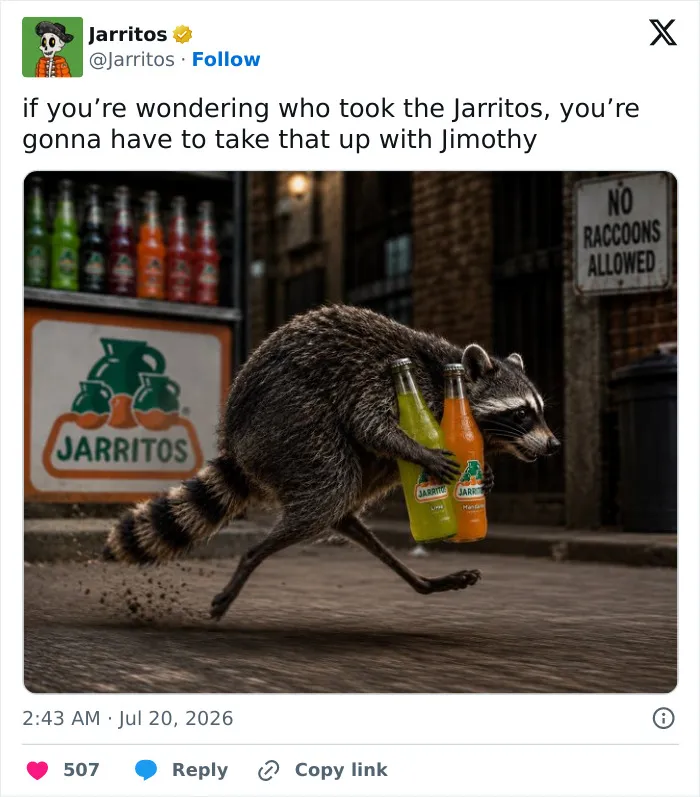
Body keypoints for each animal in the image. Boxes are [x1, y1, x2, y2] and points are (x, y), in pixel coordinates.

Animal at [104, 305, 560, 619]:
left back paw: (421, 582)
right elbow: (370, 423)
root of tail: (236, 439)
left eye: (540, 410)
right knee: (329, 491)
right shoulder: (392, 384)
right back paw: (251, 557)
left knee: (341, 509)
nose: (554, 445)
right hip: (290, 422)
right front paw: (421, 451)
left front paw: (487, 476)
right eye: (522, 414)